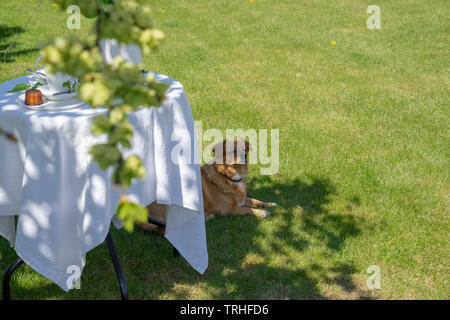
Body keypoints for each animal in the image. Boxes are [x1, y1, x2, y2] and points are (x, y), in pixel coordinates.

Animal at [138, 138, 278, 232]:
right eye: (233, 151)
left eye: (245, 149)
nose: (245, 155)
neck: (229, 177)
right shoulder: (228, 210)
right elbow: (248, 209)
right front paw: (262, 212)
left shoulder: (242, 200)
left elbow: (255, 200)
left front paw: (270, 204)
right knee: (166, 229)